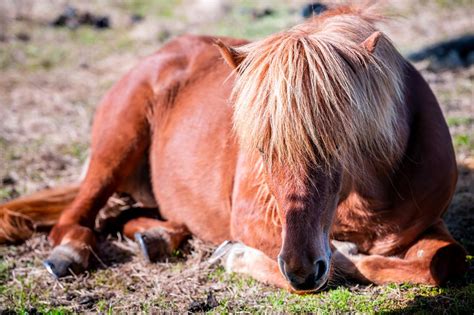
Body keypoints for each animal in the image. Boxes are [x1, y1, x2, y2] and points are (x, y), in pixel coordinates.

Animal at [0, 4, 466, 294]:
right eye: (260, 148)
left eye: (338, 143)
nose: (300, 270)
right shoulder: (253, 219)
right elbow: (336, 263)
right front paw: (238, 256)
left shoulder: (427, 225)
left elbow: (443, 262)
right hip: (116, 145)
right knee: (74, 219)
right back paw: (70, 253)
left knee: (124, 216)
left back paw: (157, 237)